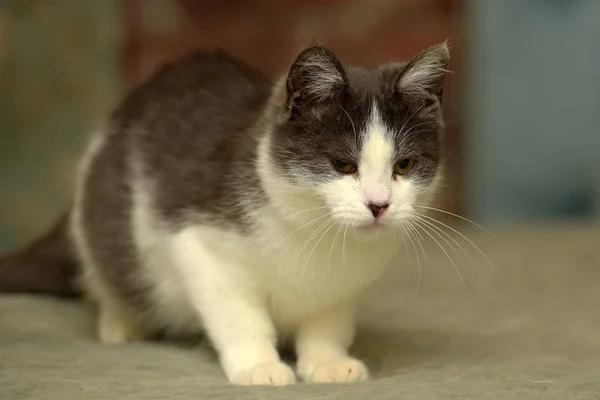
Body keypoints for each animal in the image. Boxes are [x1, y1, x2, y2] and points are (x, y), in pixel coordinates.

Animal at [0, 40, 450, 384]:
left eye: (404, 165)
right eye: (343, 165)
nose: (379, 205)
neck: (315, 237)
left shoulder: (342, 285)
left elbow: (327, 321)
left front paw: (327, 362)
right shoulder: (200, 242)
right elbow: (240, 314)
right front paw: (259, 366)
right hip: (106, 213)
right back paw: (120, 323)